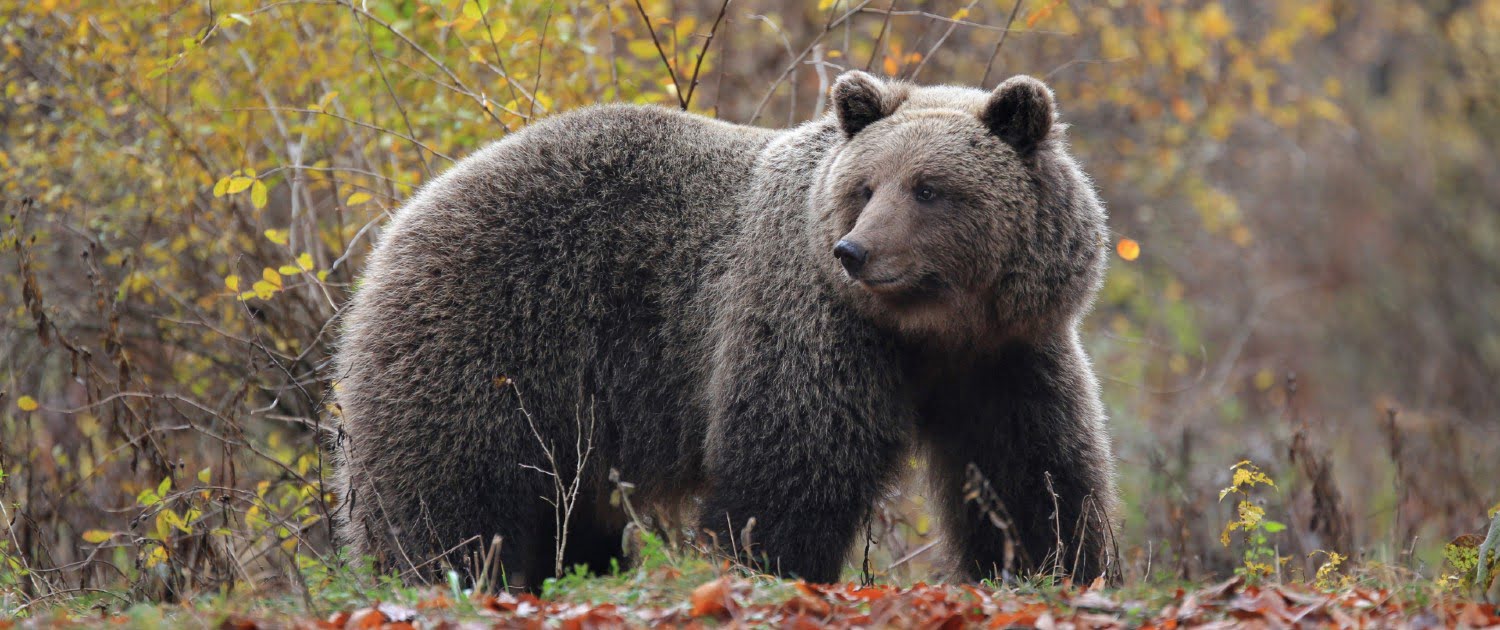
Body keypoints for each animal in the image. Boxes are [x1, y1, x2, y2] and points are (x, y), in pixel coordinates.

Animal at [334, 71, 1122, 588]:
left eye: (930, 188)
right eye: (865, 187)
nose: (855, 252)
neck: (931, 328)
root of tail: (401, 218)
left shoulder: (1007, 355)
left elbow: (1036, 473)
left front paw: (1057, 566)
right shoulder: (813, 325)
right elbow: (790, 465)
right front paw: (770, 568)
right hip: (491, 338)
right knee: (447, 496)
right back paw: (439, 577)